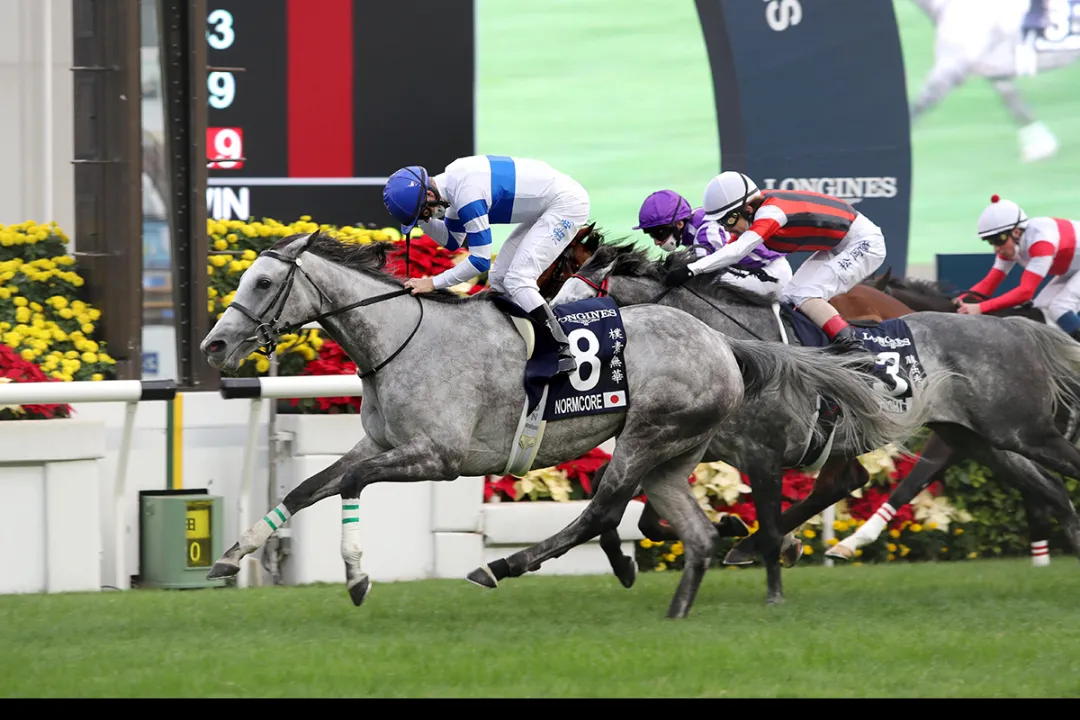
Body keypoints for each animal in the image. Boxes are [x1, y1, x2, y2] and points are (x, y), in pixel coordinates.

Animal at [198, 231, 911, 617]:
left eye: (262, 283)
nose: (214, 345)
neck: (402, 339)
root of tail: (722, 342)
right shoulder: (378, 443)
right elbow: (305, 489)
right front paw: (230, 558)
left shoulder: (436, 457)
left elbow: (348, 486)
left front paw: (355, 577)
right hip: (674, 453)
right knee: (694, 533)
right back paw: (684, 597)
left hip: (644, 435)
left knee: (600, 512)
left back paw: (506, 566)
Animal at [553, 242, 1080, 589]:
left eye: (579, 291)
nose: (556, 337)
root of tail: (1014, 328)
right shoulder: (702, 442)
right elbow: (634, 505)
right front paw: (730, 530)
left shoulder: (753, 444)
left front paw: (746, 534)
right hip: (983, 439)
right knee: (1051, 489)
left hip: (1022, 431)